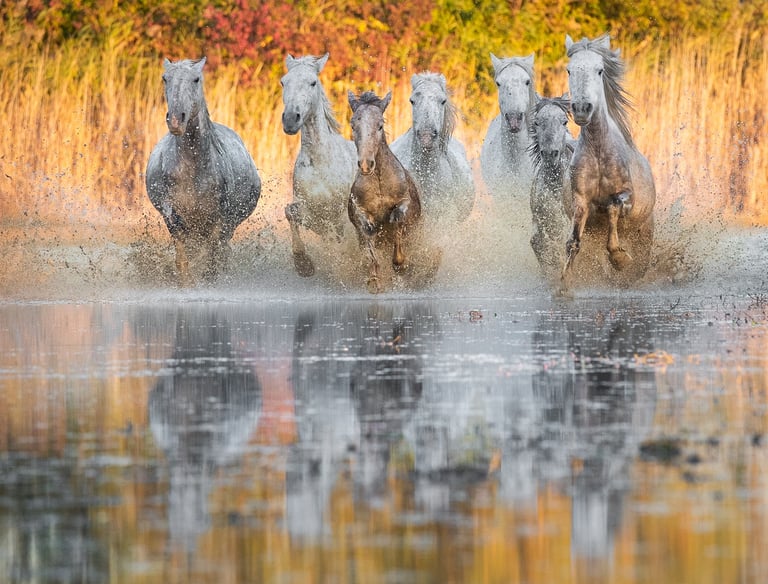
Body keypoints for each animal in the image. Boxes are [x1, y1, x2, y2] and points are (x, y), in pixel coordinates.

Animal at [146, 58, 261, 286]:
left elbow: (212, 260)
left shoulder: (218, 220)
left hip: (229, 225)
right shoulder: (173, 217)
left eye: (196, 79)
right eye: (165, 78)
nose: (176, 120)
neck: (192, 171)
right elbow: (183, 261)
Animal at [281, 53, 357, 277]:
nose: (290, 119)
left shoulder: (341, 217)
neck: (321, 163)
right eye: (283, 82)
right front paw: (303, 264)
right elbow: (290, 212)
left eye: (312, 82)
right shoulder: (313, 214)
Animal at [347, 91, 422, 293]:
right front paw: (374, 280)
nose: (366, 164)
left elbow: (397, 220)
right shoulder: (361, 212)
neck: (380, 182)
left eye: (380, 125)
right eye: (353, 125)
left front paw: (399, 264)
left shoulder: (403, 202)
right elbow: (369, 235)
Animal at [560, 34, 656, 291]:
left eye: (600, 70)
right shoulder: (581, 202)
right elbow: (573, 241)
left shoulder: (627, 195)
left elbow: (613, 206)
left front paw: (620, 259)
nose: (581, 109)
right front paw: (563, 284)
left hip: (643, 232)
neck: (598, 151)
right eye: (569, 70)